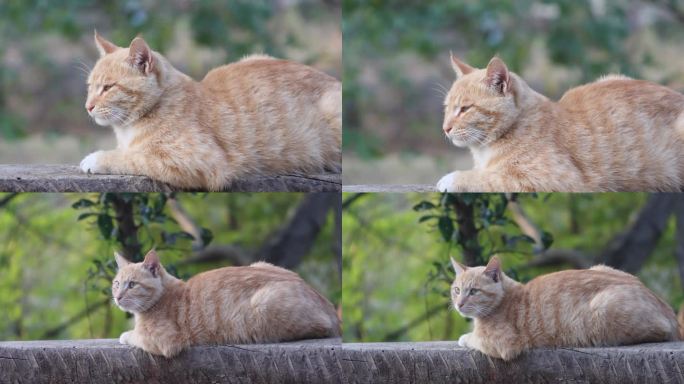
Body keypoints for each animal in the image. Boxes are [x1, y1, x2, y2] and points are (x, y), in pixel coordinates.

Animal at [80, 31, 340, 190]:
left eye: (108, 87)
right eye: (90, 86)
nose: (88, 106)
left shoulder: (196, 161)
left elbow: (132, 156)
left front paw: (95, 158)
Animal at [111, 249, 342, 356]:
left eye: (132, 284)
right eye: (116, 283)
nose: (117, 297)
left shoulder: (164, 341)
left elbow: (133, 336)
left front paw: (125, 335)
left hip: (264, 307)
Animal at [438, 54, 684, 192]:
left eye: (465, 109)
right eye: (447, 107)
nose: (445, 128)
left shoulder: (555, 180)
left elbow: (488, 178)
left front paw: (451, 179)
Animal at [452, 256, 680, 362]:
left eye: (473, 291)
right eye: (456, 290)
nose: (459, 304)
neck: (505, 297)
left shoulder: (501, 343)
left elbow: (472, 338)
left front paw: (464, 337)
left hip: (603, 311)